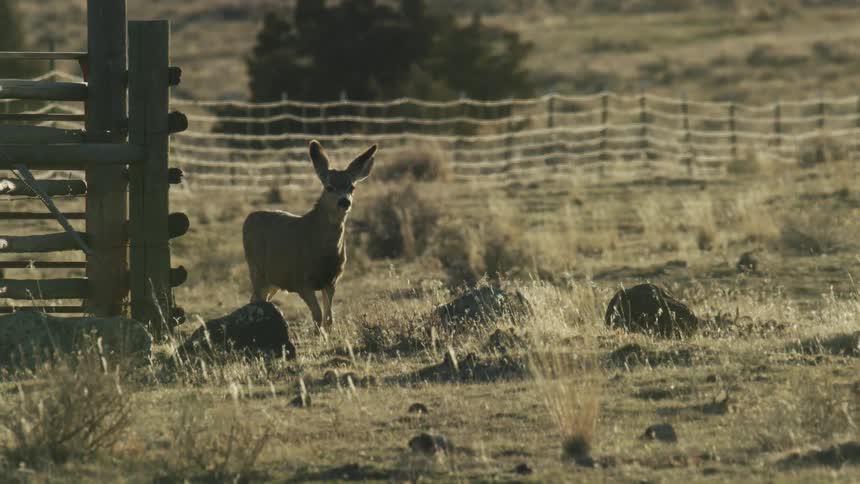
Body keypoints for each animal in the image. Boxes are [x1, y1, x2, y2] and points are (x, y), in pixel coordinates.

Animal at [242, 140, 376, 332]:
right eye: (329, 187)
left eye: (352, 187)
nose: (344, 201)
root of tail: (248, 218)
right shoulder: (301, 280)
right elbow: (317, 316)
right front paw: (319, 336)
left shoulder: (331, 280)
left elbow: (329, 318)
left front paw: (328, 334)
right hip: (256, 269)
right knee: (256, 299)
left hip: (274, 279)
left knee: (259, 299)